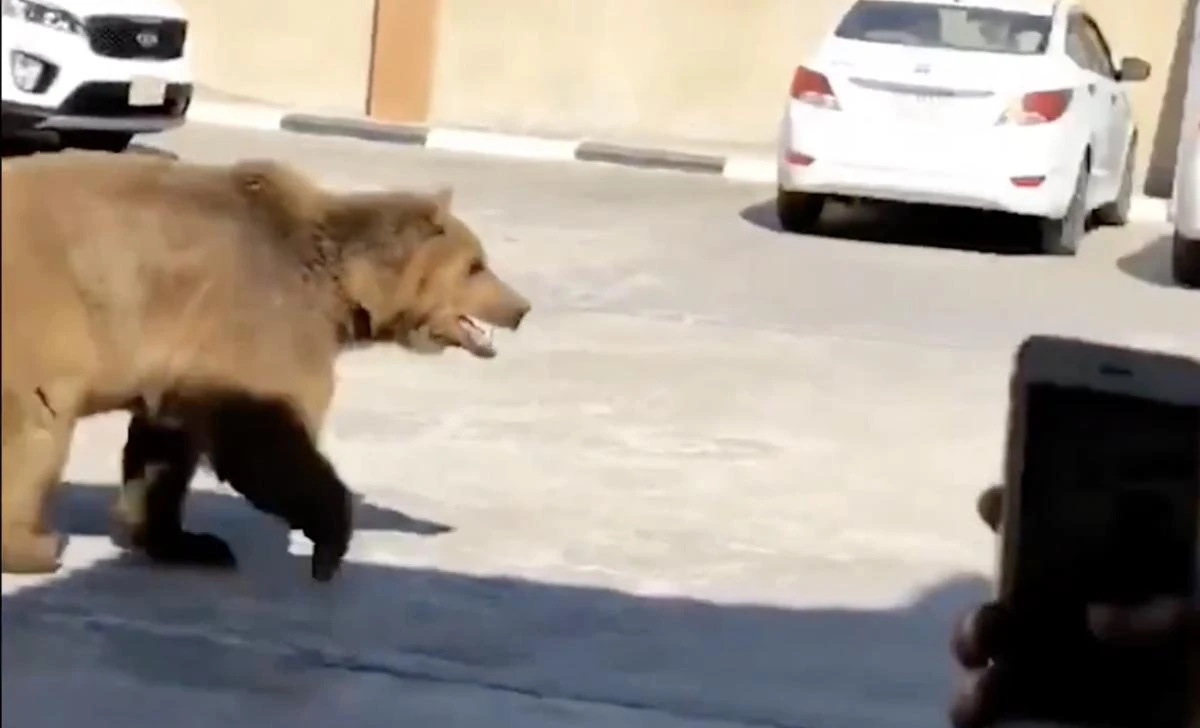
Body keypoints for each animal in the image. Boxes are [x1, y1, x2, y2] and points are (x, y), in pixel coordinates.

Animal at [1, 151, 530, 581]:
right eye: (476, 267)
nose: (521, 308)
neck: (338, 286)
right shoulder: (261, 316)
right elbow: (265, 437)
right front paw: (329, 545)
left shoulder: (187, 350)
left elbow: (166, 446)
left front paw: (186, 541)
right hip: (42, 317)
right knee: (36, 424)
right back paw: (36, 546)